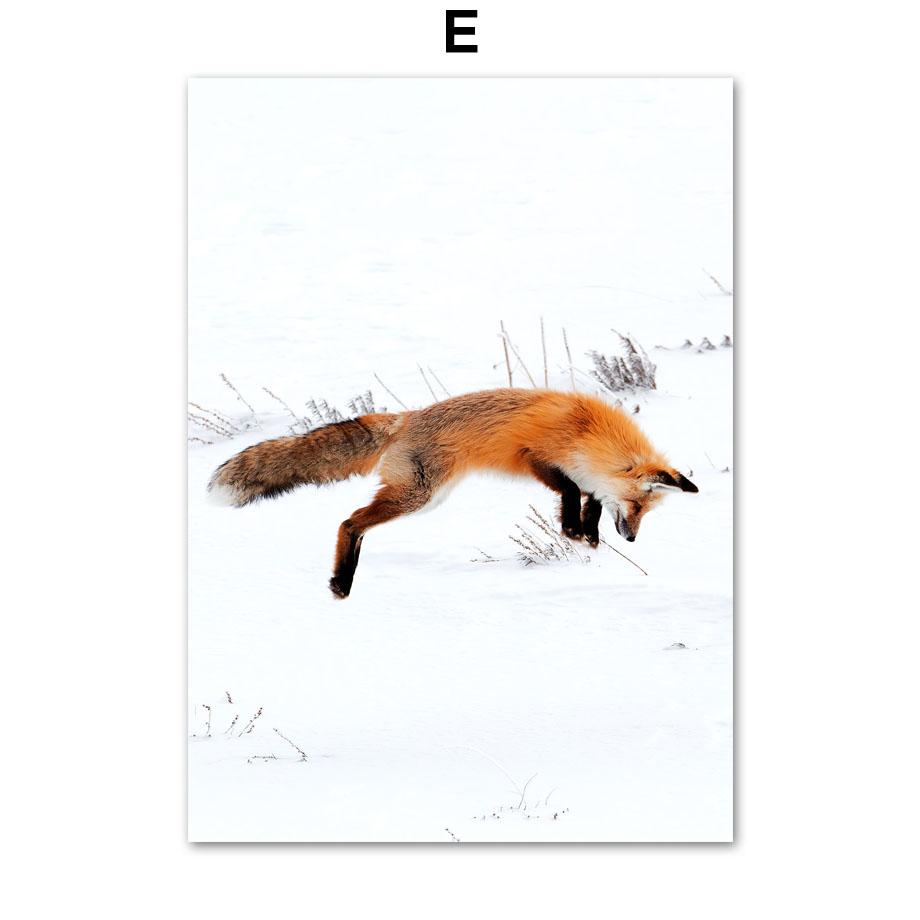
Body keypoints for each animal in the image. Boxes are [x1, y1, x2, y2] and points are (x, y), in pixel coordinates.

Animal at [208, 388, 698, 598]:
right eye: (638, 505)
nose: (631, 538)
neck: (588, 433)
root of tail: (406, 418)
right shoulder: (535, 456)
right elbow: (571, 490)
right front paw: (575, 531)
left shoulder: (583, 475)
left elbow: (589, 501)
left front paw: (586, 536)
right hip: (420, 496)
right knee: (349, 522)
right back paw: (341, 581)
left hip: (423, 496)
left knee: (357, 524)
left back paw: (343, 579)